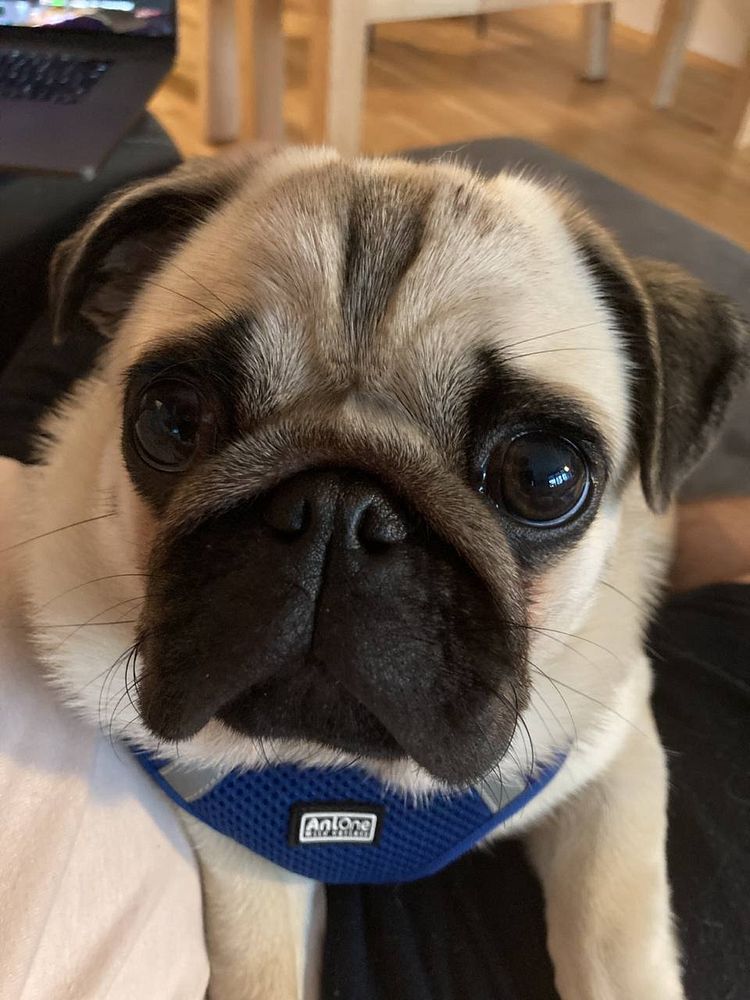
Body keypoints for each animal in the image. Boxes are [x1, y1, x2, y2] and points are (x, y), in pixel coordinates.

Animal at [13, 146, 749, 999]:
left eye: (543, 474)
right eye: (172, 420)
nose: (340, 510)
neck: (350, 778)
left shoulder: (615, 766)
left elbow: (612, 940)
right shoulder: (241, 859)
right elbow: (262, 969)